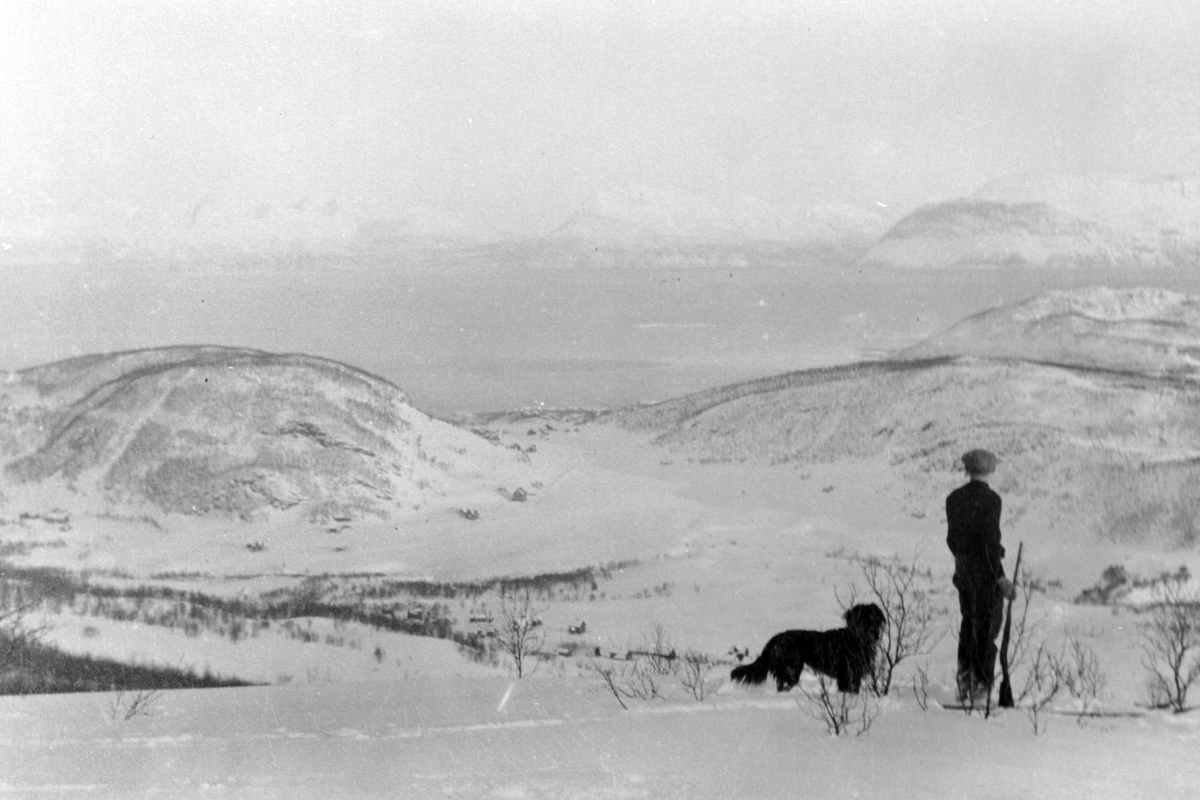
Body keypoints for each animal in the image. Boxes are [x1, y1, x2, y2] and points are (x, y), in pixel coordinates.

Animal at [724, 604, 888, 690]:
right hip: (791, 670)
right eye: (862, 619)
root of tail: (773, 640)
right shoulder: (846, 675)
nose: (874, 633)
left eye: (874, 619)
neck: (856, 641)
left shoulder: (856, 676)